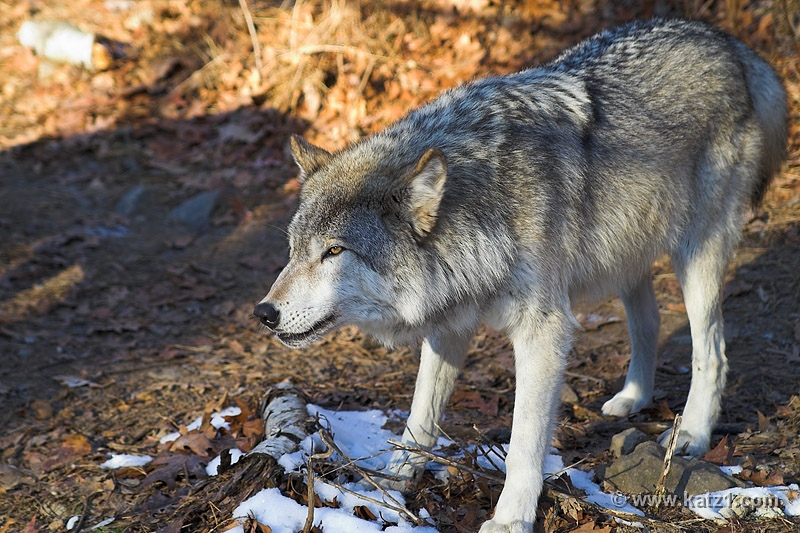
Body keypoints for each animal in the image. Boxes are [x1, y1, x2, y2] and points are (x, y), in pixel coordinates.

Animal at [254, 18, 787, 532]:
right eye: (293, 249)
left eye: (334, 251)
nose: (263, 313)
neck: (479, 211)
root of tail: (728, 43)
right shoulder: (448, 325)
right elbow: (419, 417)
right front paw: (392, 483)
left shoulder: (544, 330)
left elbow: (524, 443)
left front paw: (511, 517)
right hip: (625, 255)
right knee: (649, 323)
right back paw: (632, 398)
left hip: (696, 256)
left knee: (711, 351)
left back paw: (694, 431)